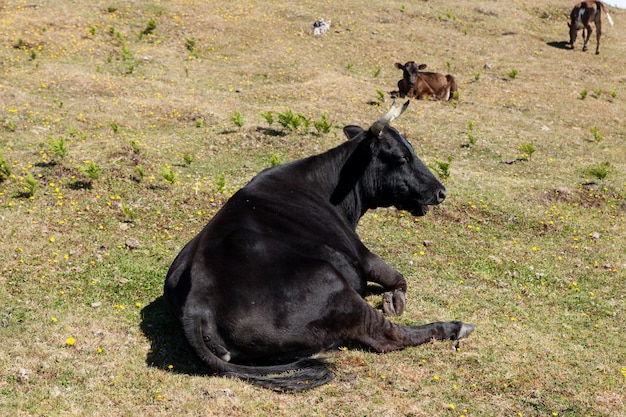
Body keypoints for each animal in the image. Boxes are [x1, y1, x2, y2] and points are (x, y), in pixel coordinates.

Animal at [162, 100, 472, 390]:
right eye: (402, 157)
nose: (441, 192)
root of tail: (197, 302)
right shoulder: (362, 255)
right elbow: (397, 276)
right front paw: (395, 299)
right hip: (332, 285)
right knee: (385, 335)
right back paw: (454, 327)